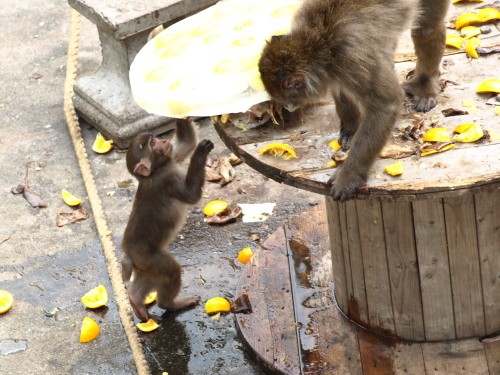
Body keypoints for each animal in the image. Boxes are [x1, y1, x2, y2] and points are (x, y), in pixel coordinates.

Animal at [122, 119, 214, 322]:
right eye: (152, 144)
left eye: (154, 138)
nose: (163, 140)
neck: (156, 170)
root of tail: (128, 253)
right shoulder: (167, 180)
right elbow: (191, 195)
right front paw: (200, 152)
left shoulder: (171, 158)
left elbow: (186, 144)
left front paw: (178, 114)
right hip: (150, 258)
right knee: (171, 272)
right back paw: (170, 304)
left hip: (145, 265)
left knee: (148, 278)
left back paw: (135, 301)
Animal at [260, 0, 452, 203]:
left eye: (286, 98)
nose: (289, 107)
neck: (317, 43)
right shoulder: (337, 69)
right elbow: (342, 91)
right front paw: (351, 130)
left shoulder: (351, 58)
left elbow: (386, 104)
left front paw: (349, 176)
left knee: (426, 28)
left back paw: (425, 82)